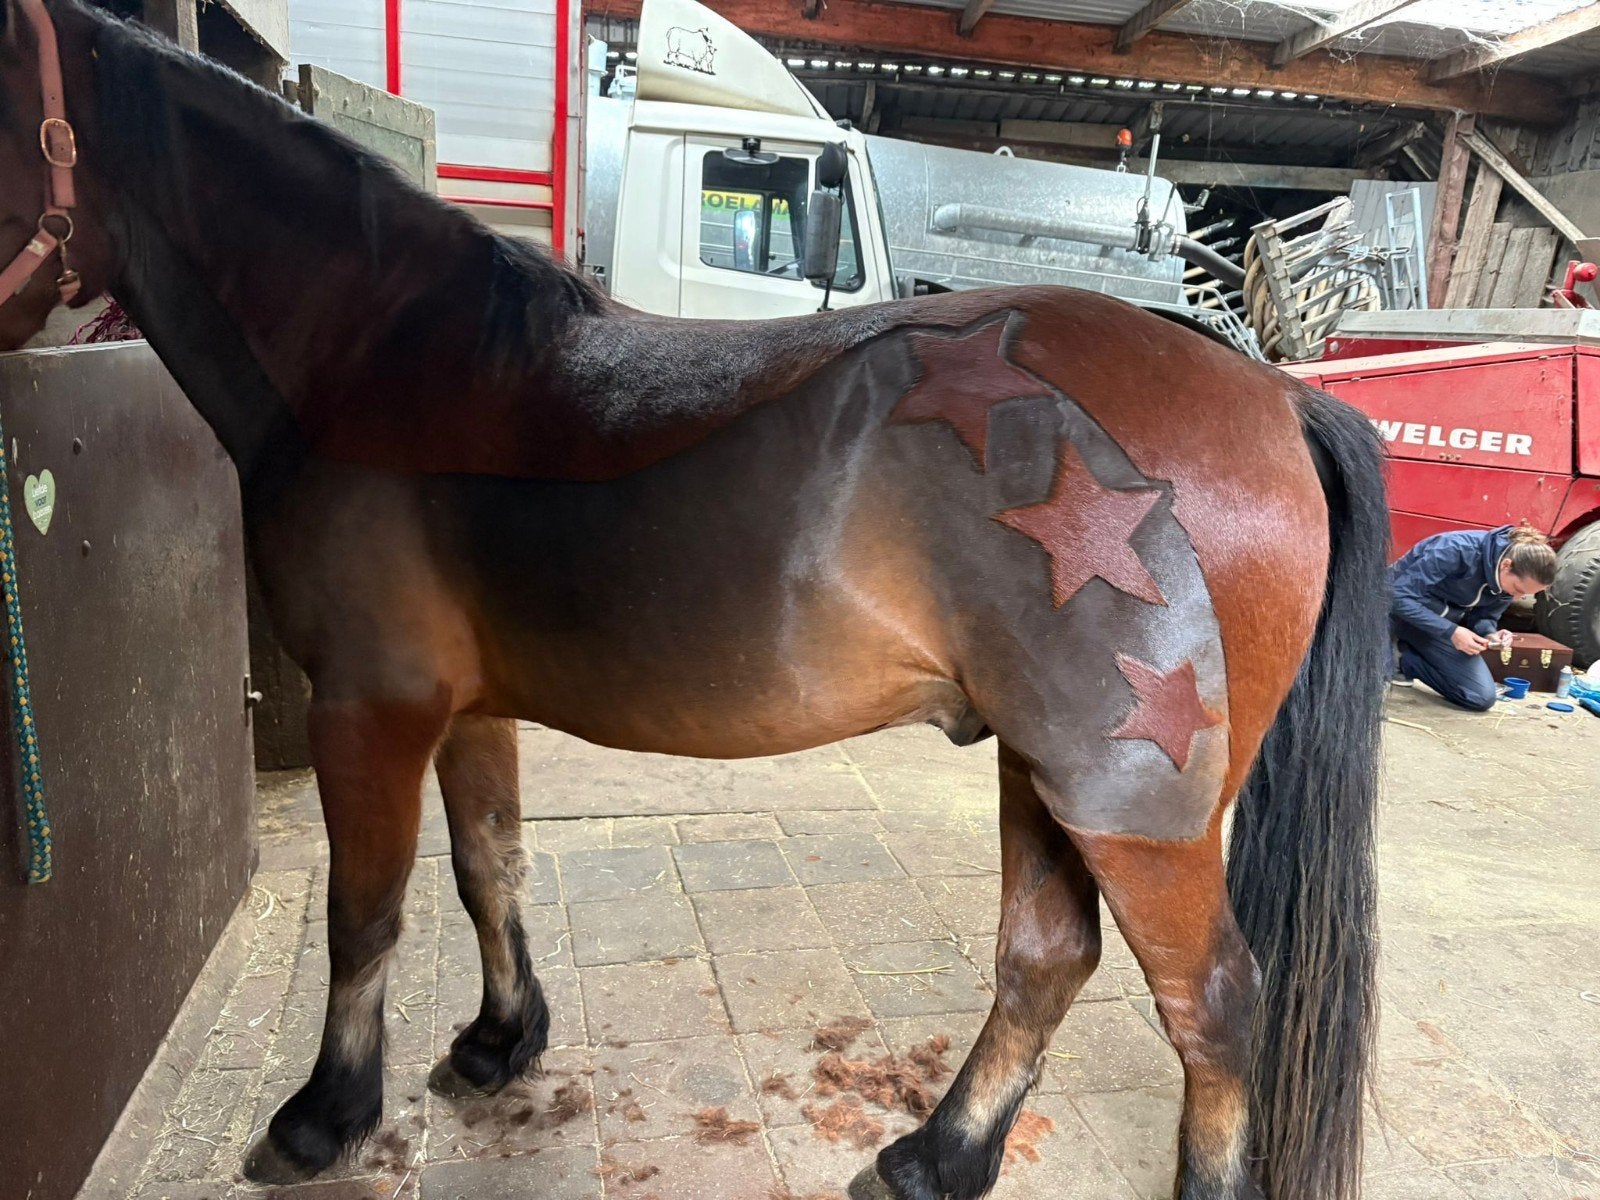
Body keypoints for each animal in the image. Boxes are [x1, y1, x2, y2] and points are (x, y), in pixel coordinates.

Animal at [0, 3, 1390, 1197]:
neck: (386, 366)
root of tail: (1274, 398)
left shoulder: (371, 708)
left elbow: (367, 911)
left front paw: (322, 1116)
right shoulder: (467, 709)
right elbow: (488, 866)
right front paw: (500, 1040)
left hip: (1131, 793)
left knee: (1211, 1002)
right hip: (1046, 772)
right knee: (1048, 959)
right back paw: (936, 1158)